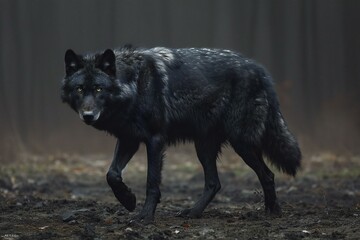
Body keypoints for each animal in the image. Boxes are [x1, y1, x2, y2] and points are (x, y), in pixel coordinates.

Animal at [62, 46, 300, 223]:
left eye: (99, 89)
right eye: (80, 89)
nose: (88, 115)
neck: (134, 86)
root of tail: (260, 70)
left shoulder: (155, 140)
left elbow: (151, 182)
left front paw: (145, 216)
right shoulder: (129, 139)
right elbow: (111, 174)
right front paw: (128, 200)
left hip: (240, 144)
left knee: (267, 175)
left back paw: (272, 212)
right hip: (204, 147)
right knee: (214, 183)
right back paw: (193, 212)